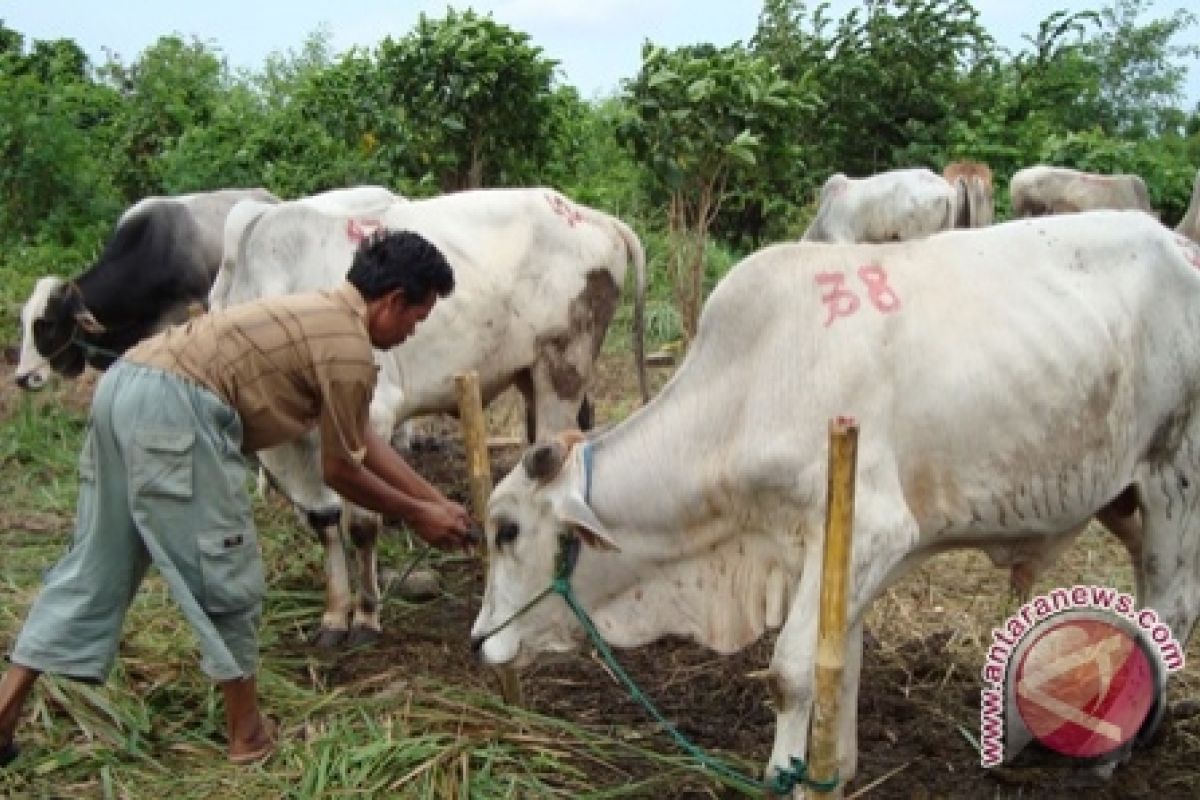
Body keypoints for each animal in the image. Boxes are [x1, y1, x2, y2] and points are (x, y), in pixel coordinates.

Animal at [214, 189, 648, 652]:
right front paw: (334, 615)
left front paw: (366, 617)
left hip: (563, 367)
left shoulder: (372, 413)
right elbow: (324, 522)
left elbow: (362, 525)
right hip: (530, 374)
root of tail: (589, 215)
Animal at [472, 212, 1200, 796]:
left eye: (506, 530)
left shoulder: (873, 528)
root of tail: (1177, 240)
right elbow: (839, 658)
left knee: (1173, 606)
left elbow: (791, 671)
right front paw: (836, 769)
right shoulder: (832, 550)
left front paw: (788, 777)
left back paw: (1114, 750)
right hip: (1122, 496)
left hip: (1175, 474)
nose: (479, 641)